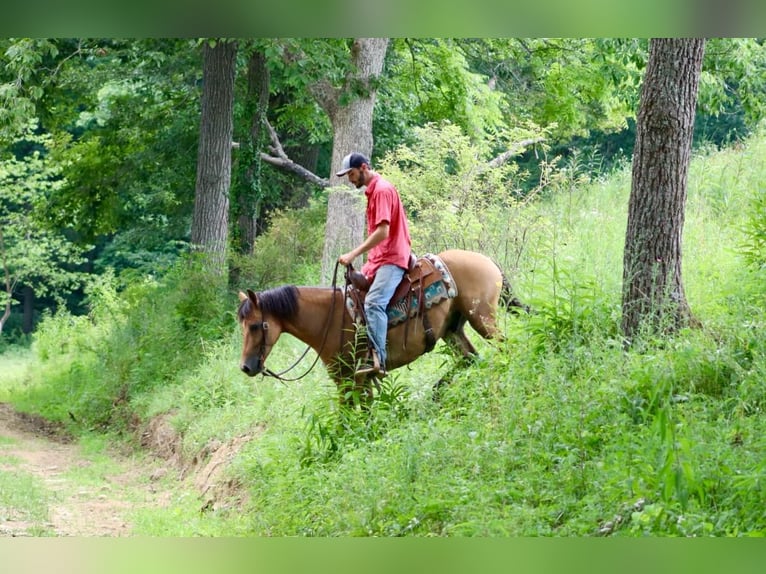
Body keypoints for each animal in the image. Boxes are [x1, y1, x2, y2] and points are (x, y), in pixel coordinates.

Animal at [237, 249, 527, 403]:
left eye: (255, 326)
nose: (246, 367)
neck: (328, 319)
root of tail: (486, 260)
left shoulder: (349, 379)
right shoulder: (358, 380)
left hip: (483, 319)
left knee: (504, 350)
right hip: (452, 330)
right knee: (471, 358)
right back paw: (438, 390)